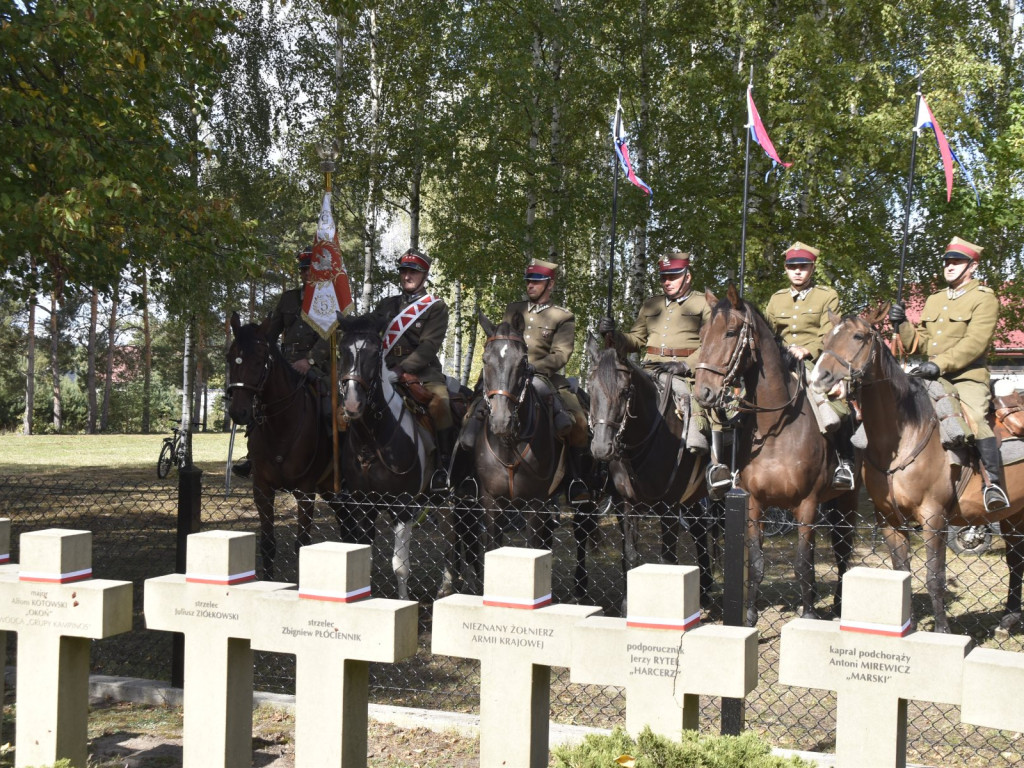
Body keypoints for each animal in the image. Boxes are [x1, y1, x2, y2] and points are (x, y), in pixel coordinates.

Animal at [224, 309, 344, 581]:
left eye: (260, 359)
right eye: (229, 357)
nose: (239, 412)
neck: (281, 426)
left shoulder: (305, 492)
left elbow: (302, 545)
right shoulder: (262, 490)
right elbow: (268, 544)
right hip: (330, 490)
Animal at [585, 333, 720, 610]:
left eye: (625, 391)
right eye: (590, 389)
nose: (602, 448)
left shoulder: (668, 506)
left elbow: (667, 560)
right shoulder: (625, 504)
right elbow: (630, 555)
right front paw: (627, 605)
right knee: (700, 530)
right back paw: (703, 591)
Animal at [696, 286, 856, 626]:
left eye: (730, 332)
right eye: (702, 334)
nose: (703, 392)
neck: (776, 430)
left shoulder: (807, 504)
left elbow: (802, 564)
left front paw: (808, 614)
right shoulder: (755, 504)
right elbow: (757, 563)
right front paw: (750, 616)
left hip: (845, 502)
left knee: (842, 552)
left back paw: (837, 606)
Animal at [806, 303, 1024, 634]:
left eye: (858, 336)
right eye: (826, 339)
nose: (820, 377)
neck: (902, 437)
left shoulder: (934, 519)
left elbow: (934, 578)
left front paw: (943, 632)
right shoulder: (890, 520)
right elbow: (902, 572)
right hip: (1012, 516)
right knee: (1016, 561)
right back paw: (1009, 617)